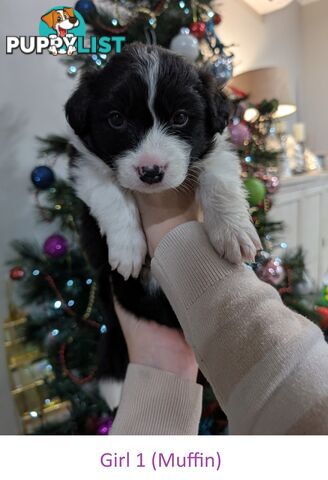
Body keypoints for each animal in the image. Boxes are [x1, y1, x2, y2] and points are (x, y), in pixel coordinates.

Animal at [64, 44, 262, 404]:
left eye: (181, 118)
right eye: (116, 119)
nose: (151, 172)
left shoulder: (216, 151)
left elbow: (219, 181)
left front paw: (234, 232)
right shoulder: (84, 164)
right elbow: (111, 195)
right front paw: (128, 250)